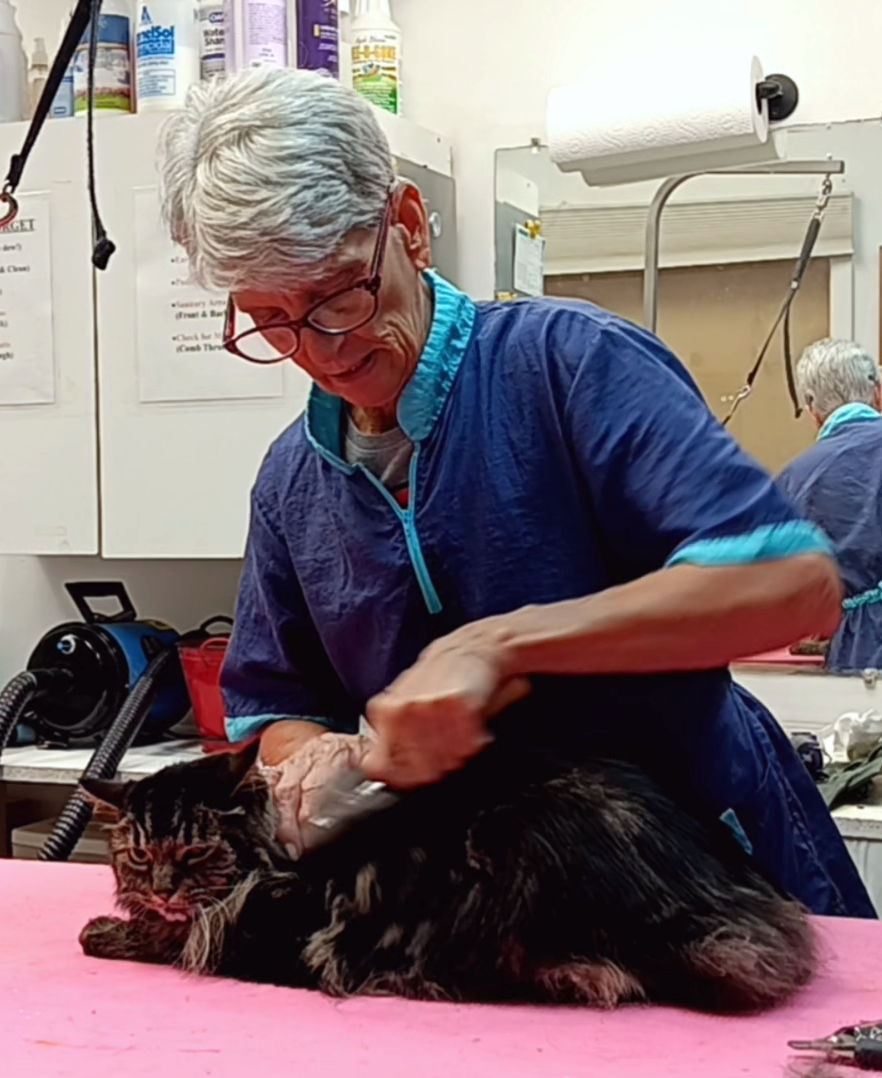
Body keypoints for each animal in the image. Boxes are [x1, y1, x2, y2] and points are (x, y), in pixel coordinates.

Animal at [79, 741, 815, 1009]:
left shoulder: (273, 929)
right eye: (140, 856)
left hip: (512, 851)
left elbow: (177, 938)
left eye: (196, 854)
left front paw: (105, 932)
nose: (163, 889)